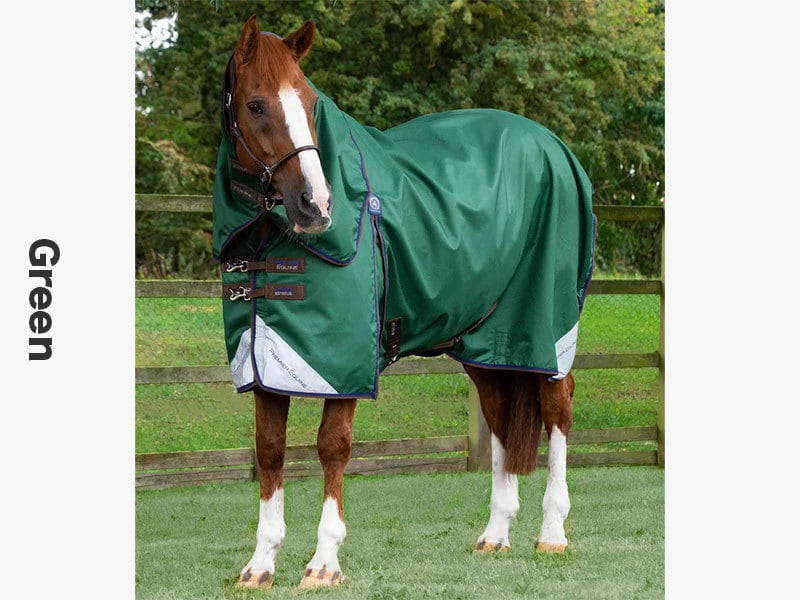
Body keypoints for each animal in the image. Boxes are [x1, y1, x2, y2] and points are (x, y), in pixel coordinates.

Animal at [213, 15, 594, 590]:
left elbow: (332, 445)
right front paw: (260, 565)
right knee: (500, 414)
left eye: (309, 100)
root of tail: (556, 147)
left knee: (557, 409)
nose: (316, 205)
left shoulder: (344, 365)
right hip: (484, 340)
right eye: (256, 105)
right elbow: (271, 449)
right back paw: (496, 534)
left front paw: (324, 562)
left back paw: (551, 533)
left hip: (545, 327)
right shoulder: (263, 365)